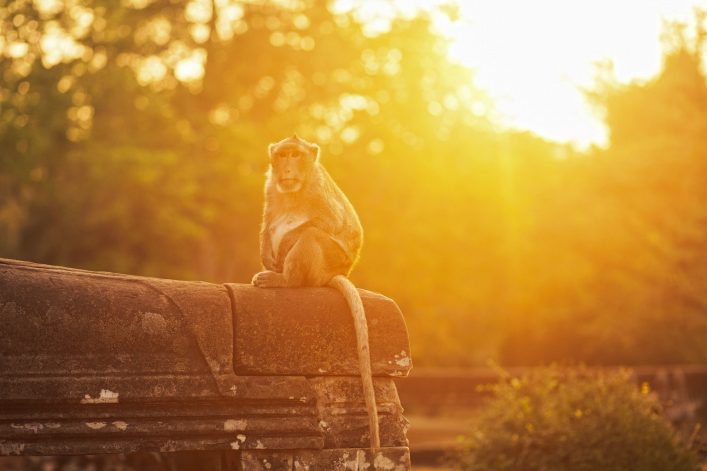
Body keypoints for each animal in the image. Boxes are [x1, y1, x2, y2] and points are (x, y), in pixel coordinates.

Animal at [251, 134, 380, 450]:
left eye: (296, 155)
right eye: (283, 155)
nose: (287, 168)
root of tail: (335, 274)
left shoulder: (318, 190)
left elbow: (327, 224)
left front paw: (285, 245)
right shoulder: (271, 187)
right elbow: (268, 221)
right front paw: (267, 254)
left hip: (328, 261)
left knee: (310, 236)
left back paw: (285, 280)